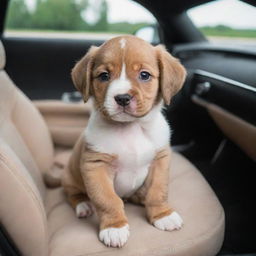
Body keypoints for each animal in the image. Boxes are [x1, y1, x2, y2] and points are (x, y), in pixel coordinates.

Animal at [61, 34, 186, 248]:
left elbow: (158, 191)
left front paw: (162, 214)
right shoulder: (96, 167)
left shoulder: (160, 161)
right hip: (70, 178)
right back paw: (84, 205)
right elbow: (108, 200)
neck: (131, 129)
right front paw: (114, 227)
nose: (122, 98)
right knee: (73, 194)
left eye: (144, 75)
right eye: (104, 76)